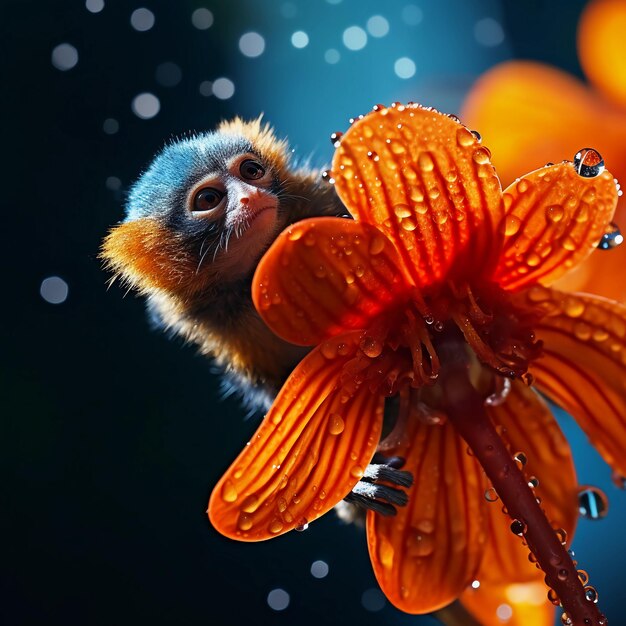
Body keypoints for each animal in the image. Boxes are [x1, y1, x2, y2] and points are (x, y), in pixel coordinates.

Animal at [100, 117, 412, 516]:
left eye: (251, 171)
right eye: (209, 199)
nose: (250, 196)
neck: (255, 272)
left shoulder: (319, 198)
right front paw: (355, 483)